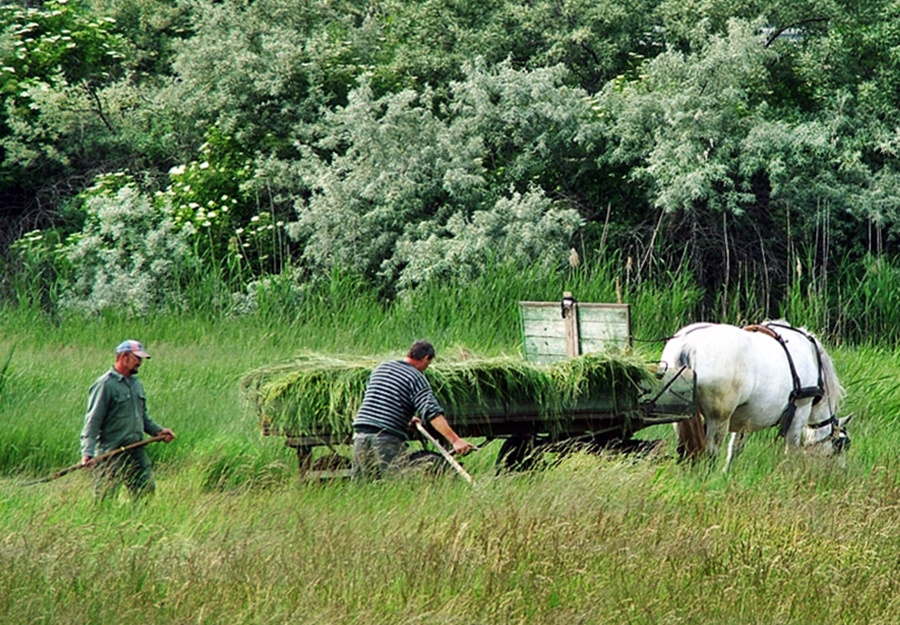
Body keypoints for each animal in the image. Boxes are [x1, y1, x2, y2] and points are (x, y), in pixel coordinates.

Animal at [656, 320, 848, 470]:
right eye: (840, 445)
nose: (840, 471)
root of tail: (688, 345)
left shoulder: (744, 421)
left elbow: (735, 449)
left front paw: (727, 474)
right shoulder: (800, 411)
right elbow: (791, 450)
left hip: (680, 416)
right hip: (718, 419)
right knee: (710, 452)